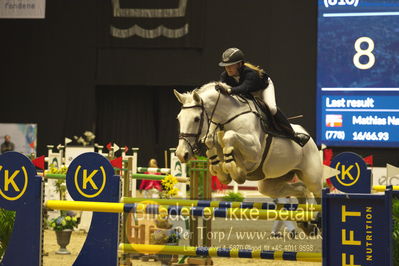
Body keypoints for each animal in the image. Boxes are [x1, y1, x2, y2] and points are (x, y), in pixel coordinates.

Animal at [176, 81, 324, 204]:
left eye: (196, 118)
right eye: (179, 118)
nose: (181, 154)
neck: (228, 116)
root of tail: (311, 141)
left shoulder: (254, 149)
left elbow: (229, 137)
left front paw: (235, 170)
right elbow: (210, 141)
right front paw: (221, 170)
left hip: (313, 179)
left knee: (316, 193)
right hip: (271, 182)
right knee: (300, 189)